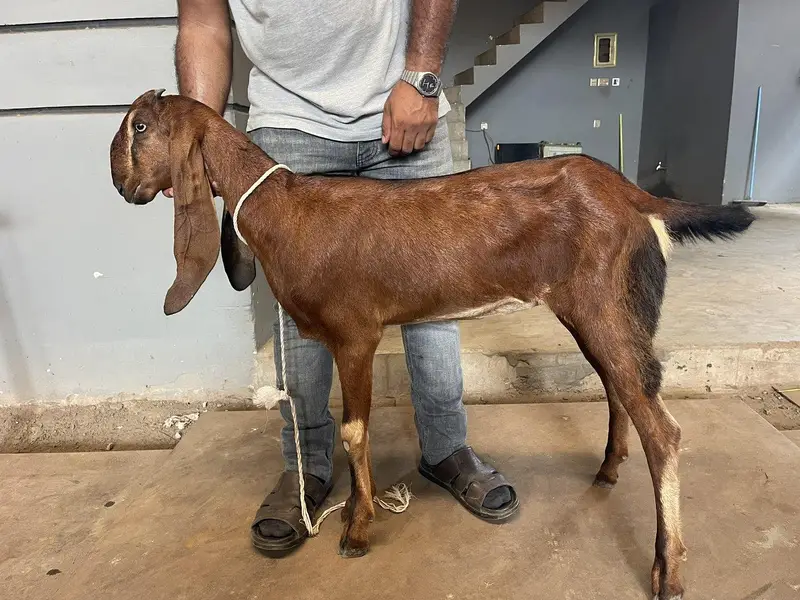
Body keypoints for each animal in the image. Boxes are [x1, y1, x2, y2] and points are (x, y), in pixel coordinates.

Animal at [109, 89, 755, 599]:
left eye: (139, 126)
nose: (119, 182)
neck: (285, 209)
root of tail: (635, 197)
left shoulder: (356, 331)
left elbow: (355, 431)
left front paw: (357, 529)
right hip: (594, 310)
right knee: (621, 388)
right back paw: (608, 471)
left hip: (606, 304)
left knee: (663, 429)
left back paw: (668, 572)